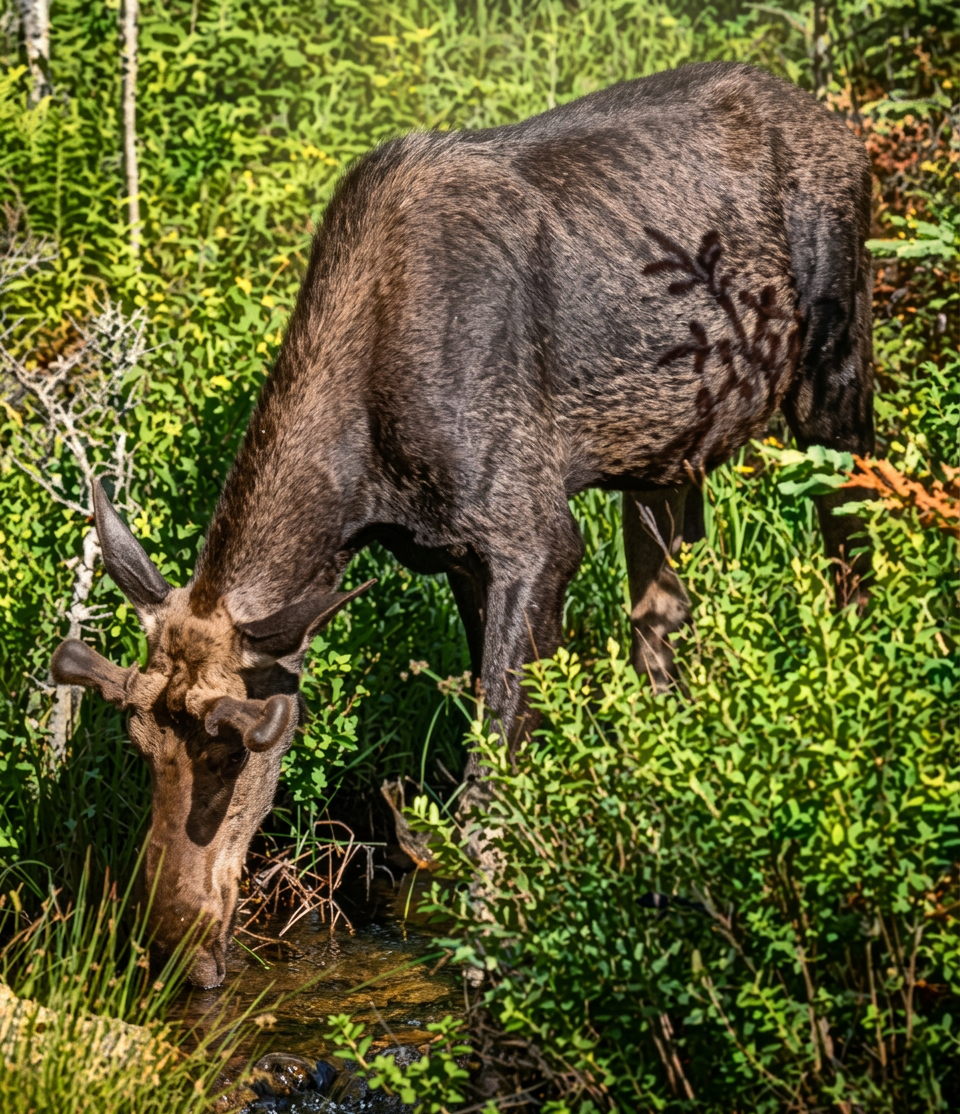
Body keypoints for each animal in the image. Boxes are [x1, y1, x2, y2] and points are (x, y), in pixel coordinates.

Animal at [50, 62, 874, 986]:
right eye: (137, 746)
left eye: (233, 748)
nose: (175, 948)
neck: (364, 477)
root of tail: (843, 131)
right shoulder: (458, 557)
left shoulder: (536, 537)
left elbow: (488, 772)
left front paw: (495, 951)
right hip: (665, 462)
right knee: (665, 625)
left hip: (835, 376)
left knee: (855, 536)